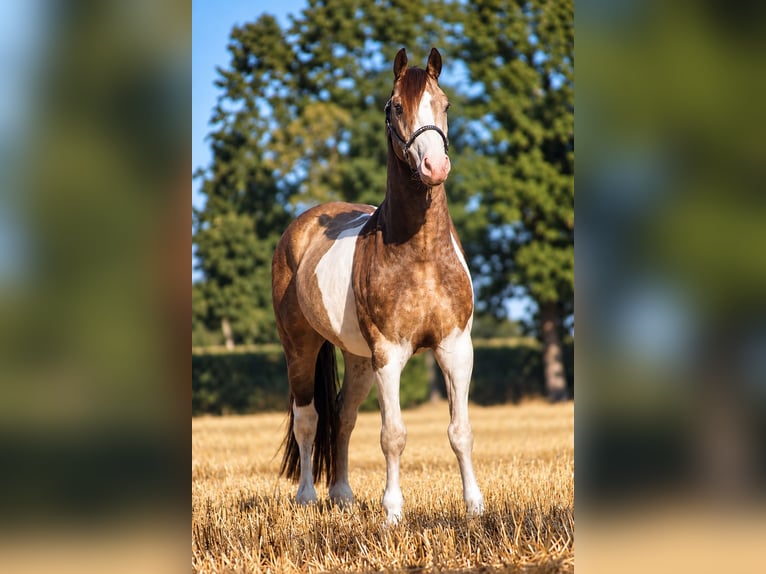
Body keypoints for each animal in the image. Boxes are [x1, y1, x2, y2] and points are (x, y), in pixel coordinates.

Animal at [271, 47, 484, 523]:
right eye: (397, 108)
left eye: (445, 104)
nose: (435, 167)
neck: (421, 253)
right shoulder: (390, 354)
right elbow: (393, 435)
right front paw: (392, 513)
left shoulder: (456, 347)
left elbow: (460, 429)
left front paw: (475, 508)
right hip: (301, 348)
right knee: (309, 419)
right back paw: (308, 497)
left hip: (358, 360)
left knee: (343, 416)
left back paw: (343, 495)